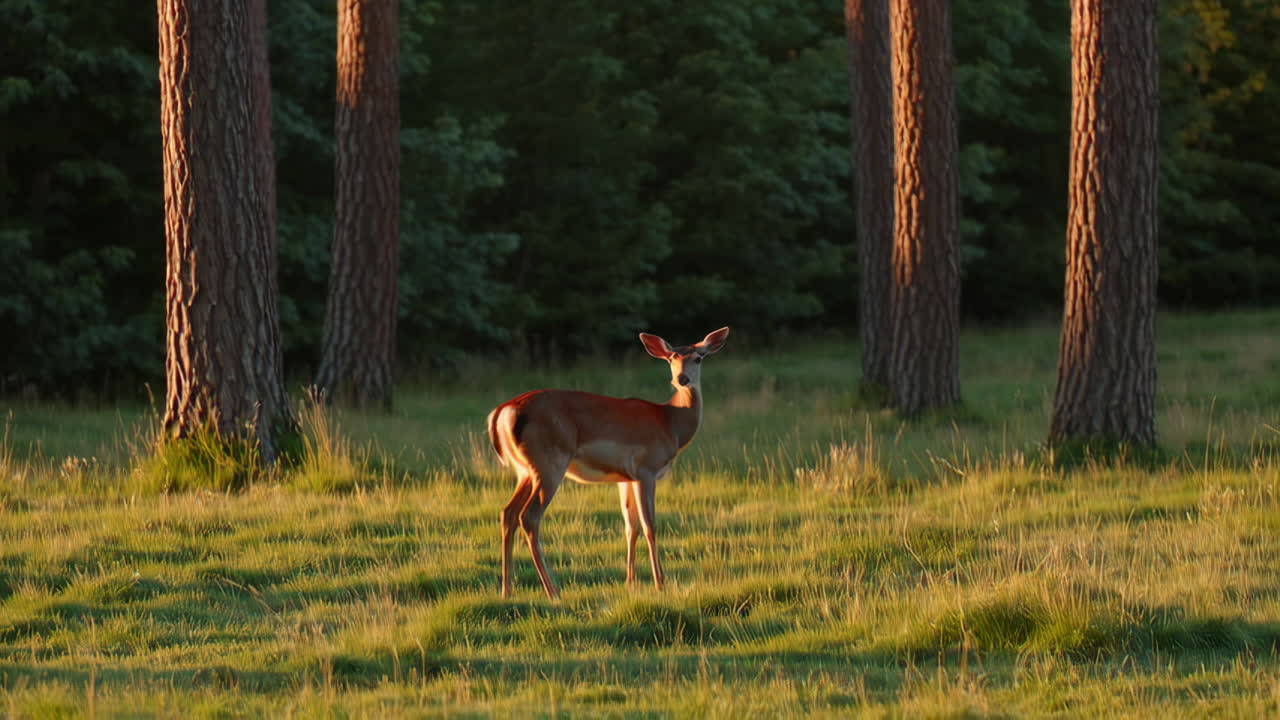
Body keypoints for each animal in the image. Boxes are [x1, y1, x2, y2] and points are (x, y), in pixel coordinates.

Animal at [486, 327, 730, 600]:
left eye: (698, 358)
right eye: (671, 358)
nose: (682, 379)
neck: (672, 424)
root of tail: (503, 412)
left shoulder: (625, 477)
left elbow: (630, 527)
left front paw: (630, 583)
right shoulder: (646, 468)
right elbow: (650, 525)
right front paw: (660, 583)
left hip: (525, 470)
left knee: (508, 512)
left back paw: (507, 590)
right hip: (550, 462)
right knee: (529, 516)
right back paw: (553, 591)